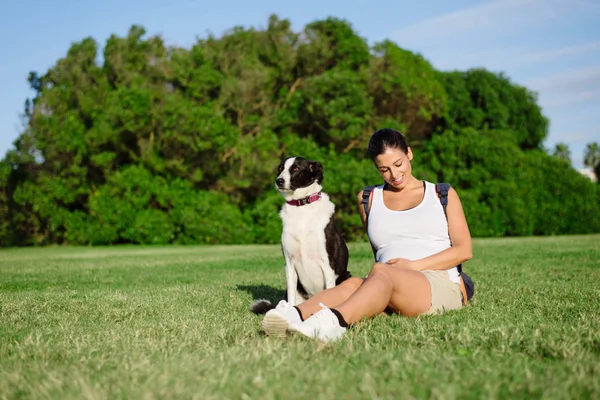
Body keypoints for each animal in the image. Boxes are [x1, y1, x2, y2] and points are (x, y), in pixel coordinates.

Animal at [250, 155, 352, 312]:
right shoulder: (290, 264)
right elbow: (291, 299)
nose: (279, 181)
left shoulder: (328, 263)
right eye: (280, 168)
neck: (301, 207)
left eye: (296, 169)